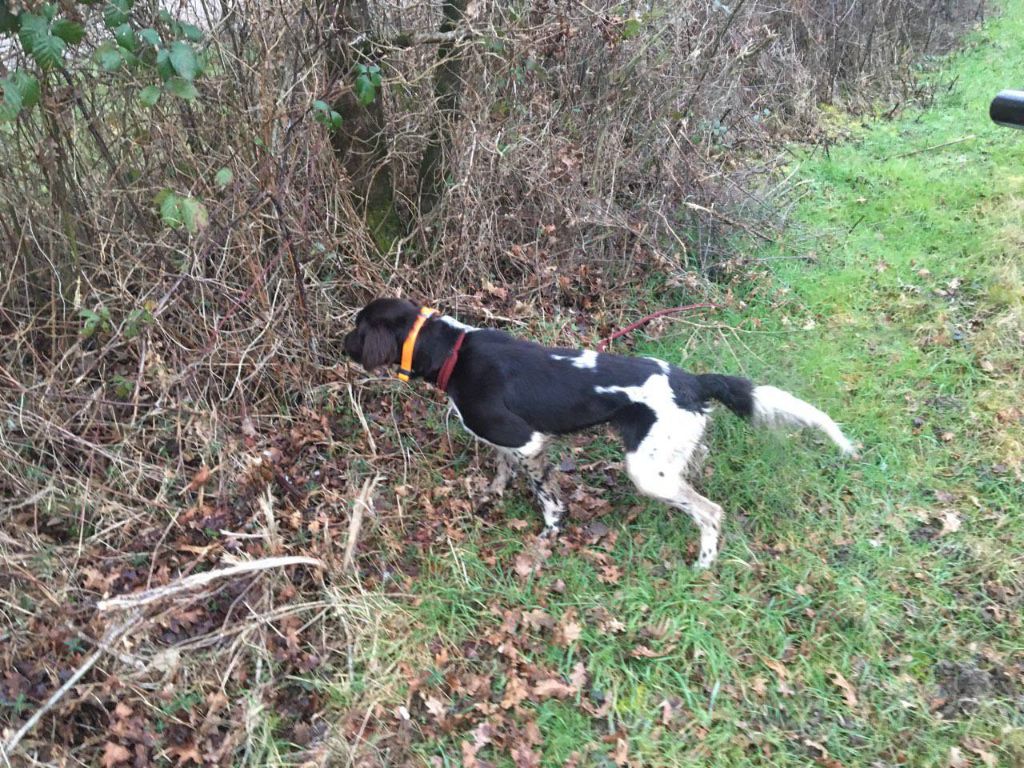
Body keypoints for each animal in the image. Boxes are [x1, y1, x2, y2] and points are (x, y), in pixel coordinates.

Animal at [346, 296, 856, 569]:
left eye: (357, 327)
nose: (338, 343)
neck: (453, 350)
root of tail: (693, 381)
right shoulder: (507, 442)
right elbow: (500, 470)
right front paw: (490, 496)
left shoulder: (529, 441)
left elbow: (547, 498)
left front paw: (548, 536)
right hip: (668, 458)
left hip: (646, 471)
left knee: (711, 512)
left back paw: (703, 564)